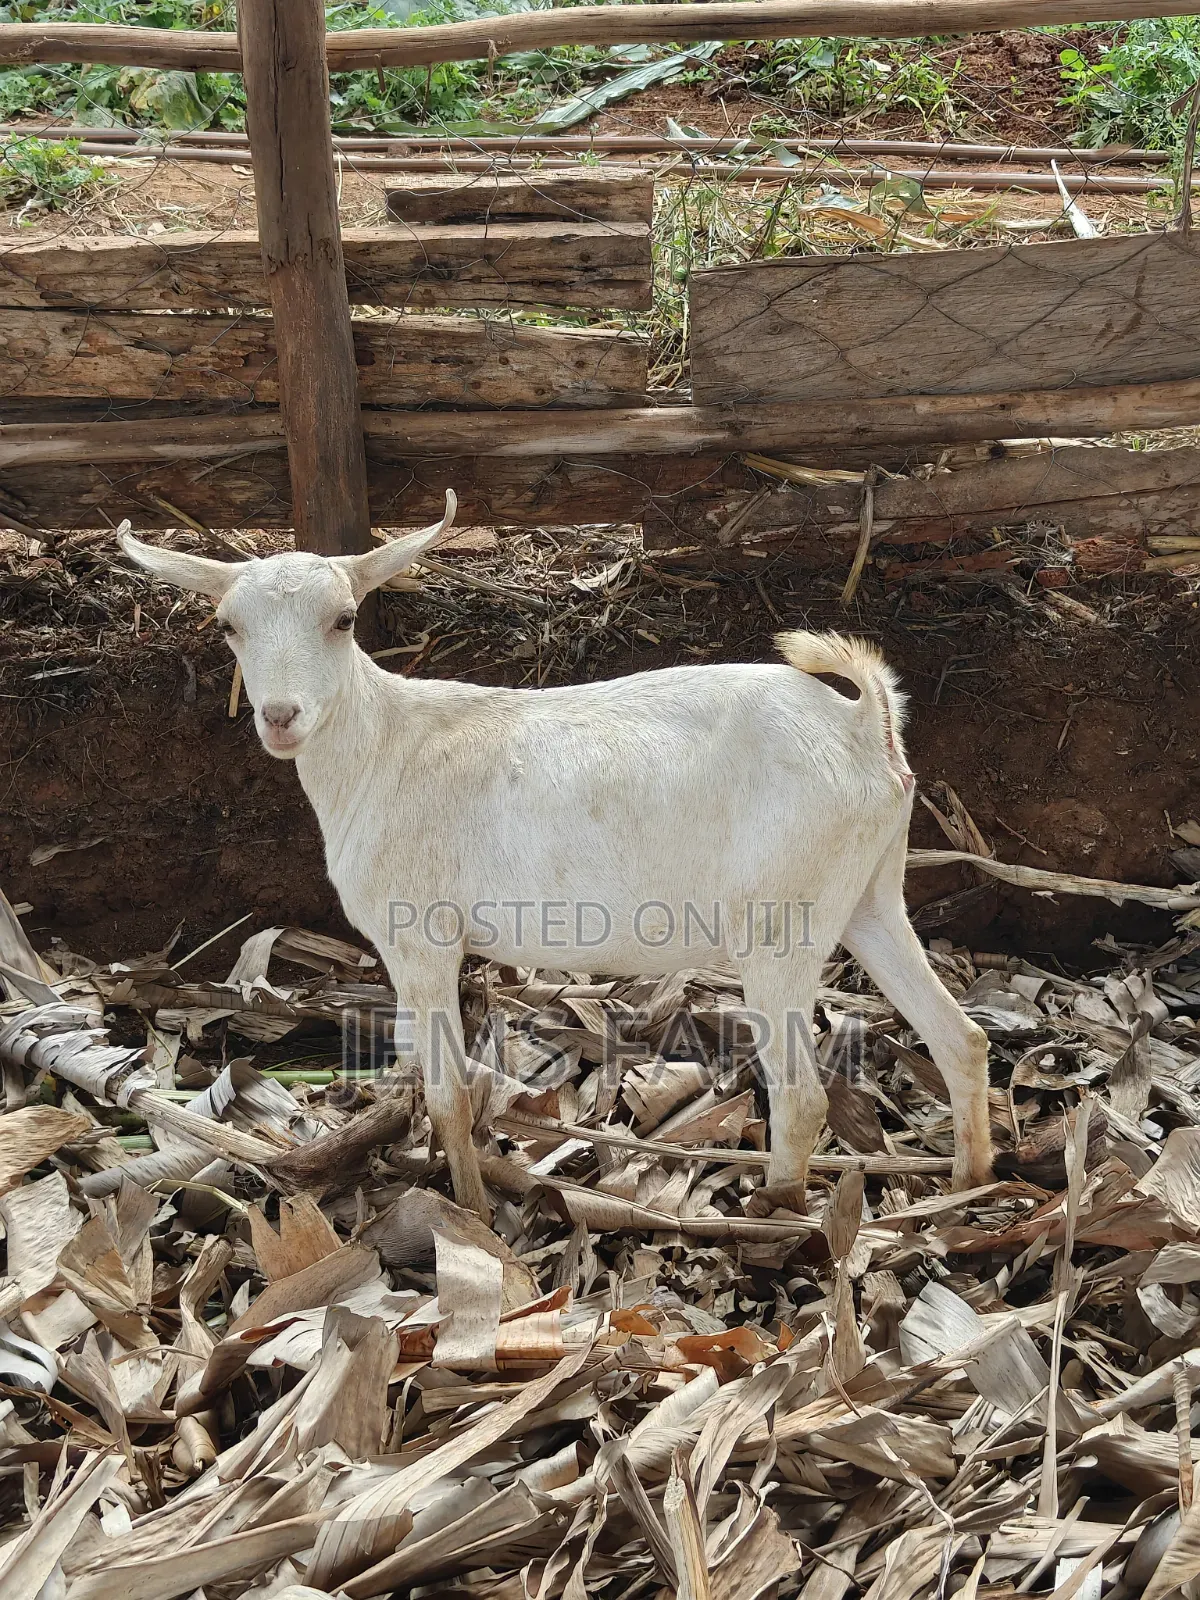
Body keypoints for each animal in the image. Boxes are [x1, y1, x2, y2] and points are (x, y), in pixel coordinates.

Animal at [118, 495, 992, 1218]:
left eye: (343, 619)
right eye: (228, 626)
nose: (280, 715)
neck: (386, 746)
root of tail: (864, 727)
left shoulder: (419, 937)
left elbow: (446, 1093)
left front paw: (470, 1211)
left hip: (783, 920)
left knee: (804, 1095)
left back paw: (776, 1215)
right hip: (870, 893)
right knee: (961, 1037)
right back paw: (970, 1182)